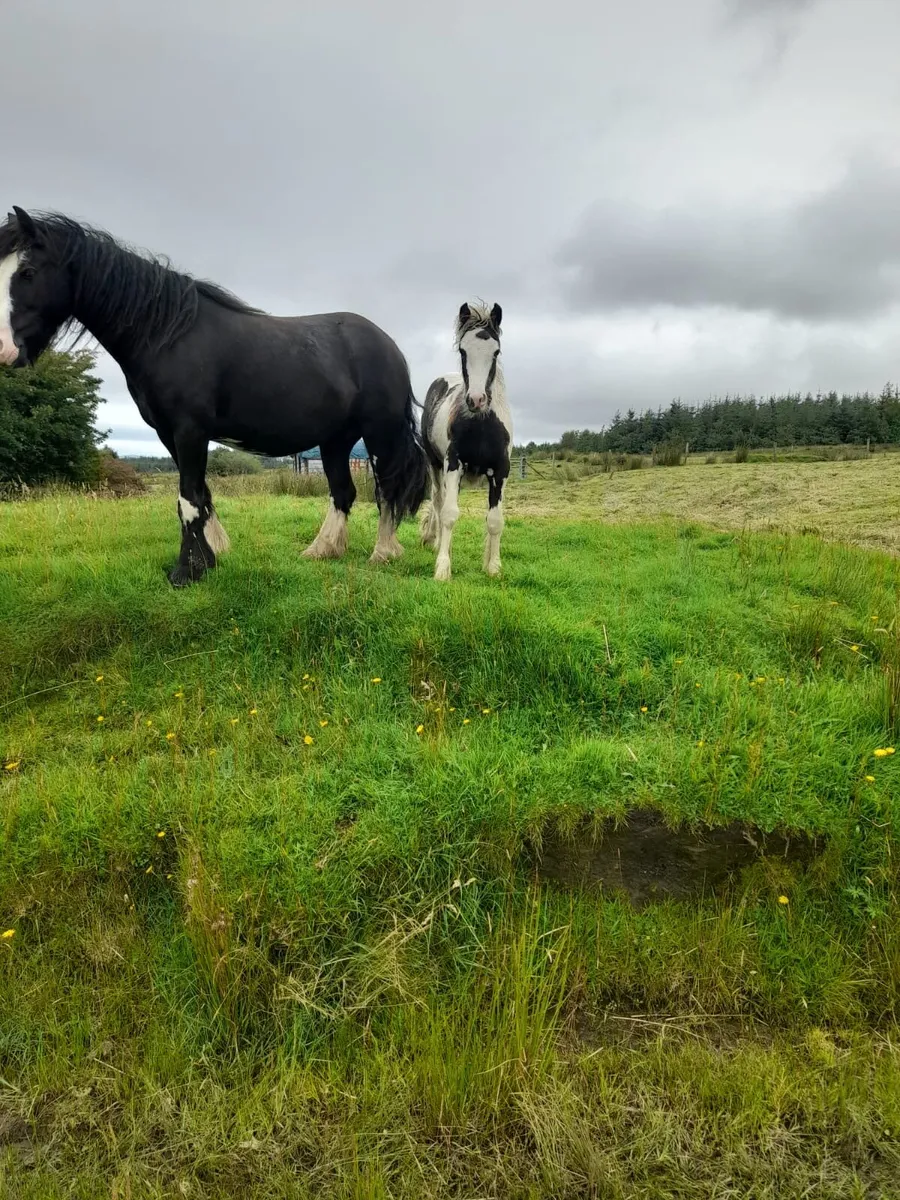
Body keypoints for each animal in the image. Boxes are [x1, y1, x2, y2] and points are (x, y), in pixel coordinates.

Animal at [0, 207, 427, 586]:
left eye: (28, 272)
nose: (5, 350)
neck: (167, 334)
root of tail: (388, 344)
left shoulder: (190, 429)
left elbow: (188, 498)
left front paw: (187, 572)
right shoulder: (168, 434)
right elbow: (201, 494)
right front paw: (213, 554)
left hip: (379, 432)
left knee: (387, 488)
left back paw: (383, 553)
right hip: (335, 439)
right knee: (343, 491)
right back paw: (322, 550)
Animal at [420, 302, 512, 581]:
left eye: (496, 351)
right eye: (463, 350)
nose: (476, 400)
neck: (482, 424)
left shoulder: (501, 471)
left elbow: (495, 520)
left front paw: (493, 567)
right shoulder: (453, 464)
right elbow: (449, 514)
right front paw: (442, 568)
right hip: (436, 465)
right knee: (439, 502)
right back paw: (436, 541)